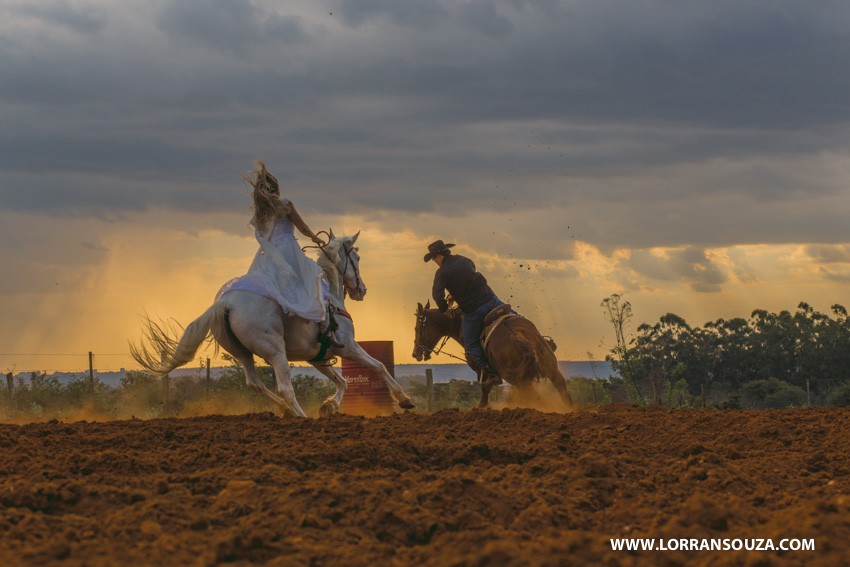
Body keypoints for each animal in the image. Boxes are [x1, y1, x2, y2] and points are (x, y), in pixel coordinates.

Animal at [128, 231, 414, 418]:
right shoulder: (349, 347)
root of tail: (225, 304)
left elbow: (342, 381)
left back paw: (286, 410)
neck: (330, 296)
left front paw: (329, 406)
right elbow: (378, 366)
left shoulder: (318, 357)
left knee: (255, 383)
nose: (361, 290)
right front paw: (404, 399)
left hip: (242, 353)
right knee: (285, 387)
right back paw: (300, 416)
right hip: (276, 351)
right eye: (356, 257)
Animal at [410, 304, 568, 410]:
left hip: (518, 380)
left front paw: (481, 405)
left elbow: (484, 387)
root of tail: (518, 338)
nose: (415, 353)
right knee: (562, 389)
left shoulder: (482, 370)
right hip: (551, 370)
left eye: (417, 328)